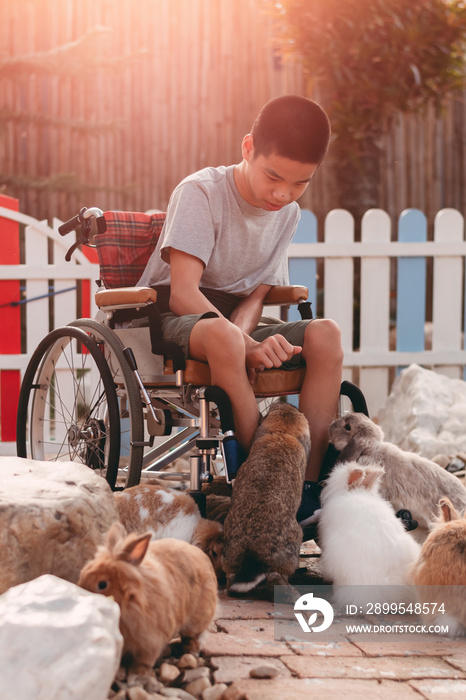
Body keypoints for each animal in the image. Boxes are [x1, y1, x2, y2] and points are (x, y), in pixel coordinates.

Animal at [78, 524, 218, 676]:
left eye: (102, 584)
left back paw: (189, 650)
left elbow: (146, 659)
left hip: (197, 619)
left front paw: (138, 671)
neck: (131, 601)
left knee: (193, 636)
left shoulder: (151, 641)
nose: (81, 593)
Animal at [221, 402, 310, 600]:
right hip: (294, 543)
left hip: (230, 556)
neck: (282, 431)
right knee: (276, 578)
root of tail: (253, 554)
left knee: (230, 577)